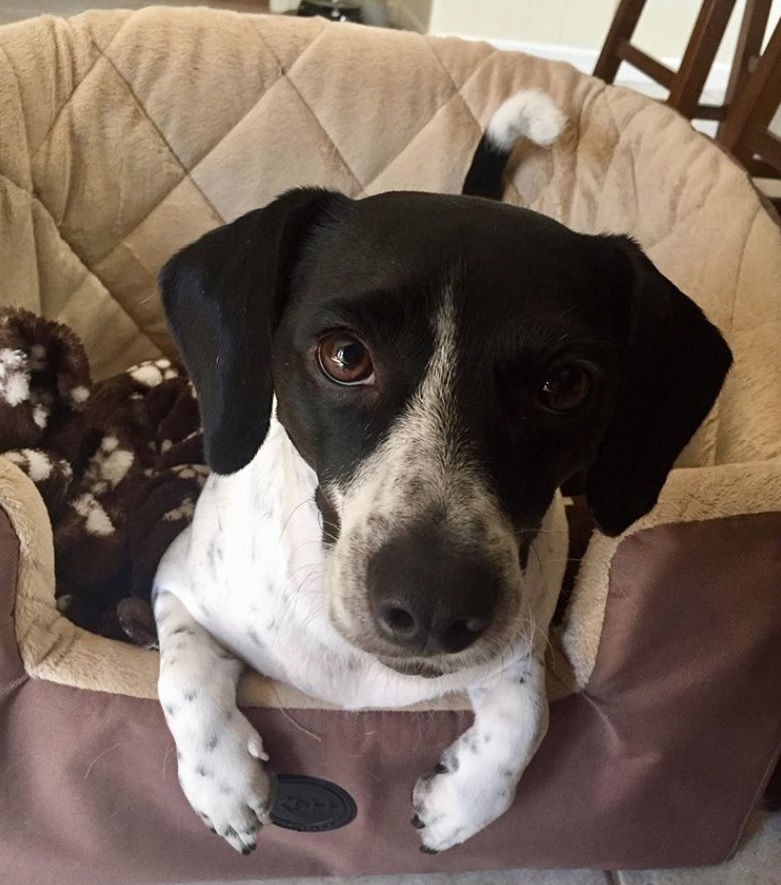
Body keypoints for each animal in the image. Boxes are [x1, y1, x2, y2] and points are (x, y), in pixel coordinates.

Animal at [152, 91, 732, 856]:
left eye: (564, 385)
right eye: (344, 355)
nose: (431, 607)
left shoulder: (521, 652)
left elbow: (527, 717)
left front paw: (462, 802)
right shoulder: (179, 588)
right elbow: (182, 672)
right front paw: (220, 783)